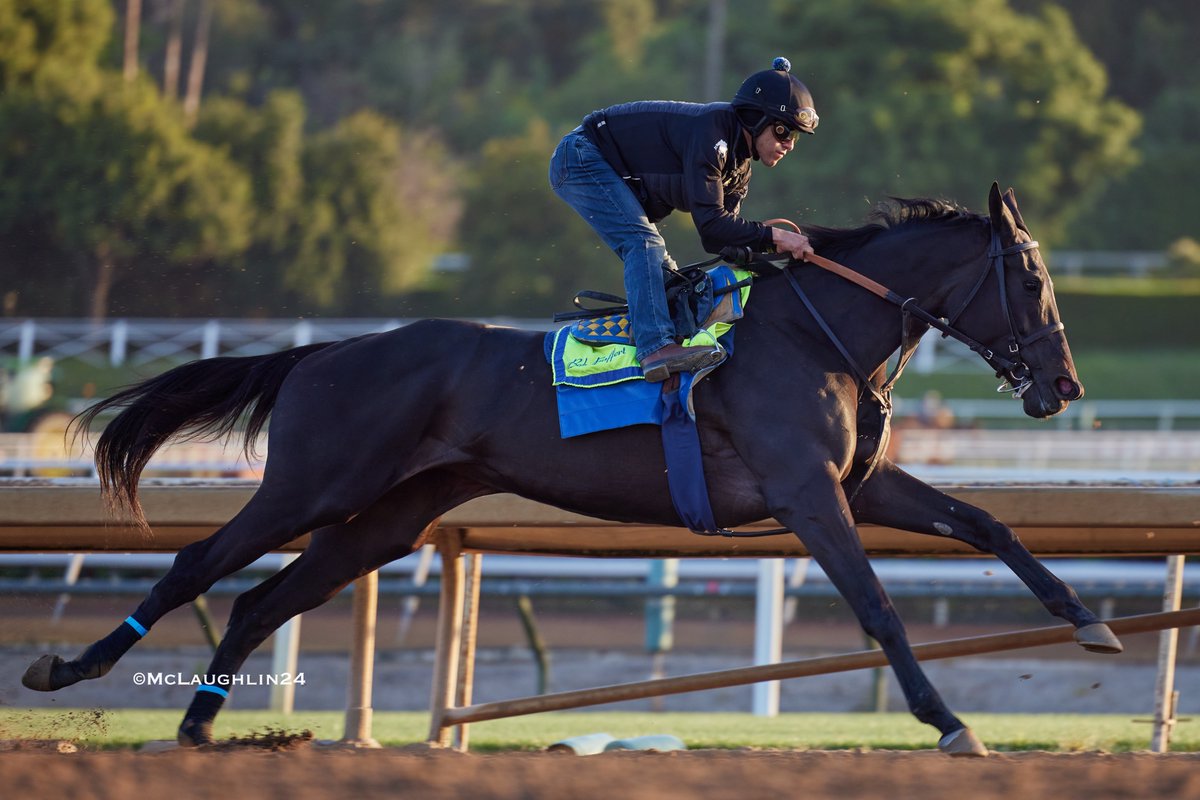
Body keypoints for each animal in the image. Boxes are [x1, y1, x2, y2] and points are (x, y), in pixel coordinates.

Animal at [23, 183, 1118, 758]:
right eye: (1031, 278)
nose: (1064, 383)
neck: (816, 335)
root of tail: (325, 353)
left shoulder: (860, 485)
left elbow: (989, 525)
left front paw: (1088, 618)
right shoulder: (809, 495)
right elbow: (880, 609)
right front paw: (950, 721)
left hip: (394, 515)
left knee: (261, 600)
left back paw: (197, 728)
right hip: (314, 484)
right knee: (197, 564)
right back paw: (70, 669)